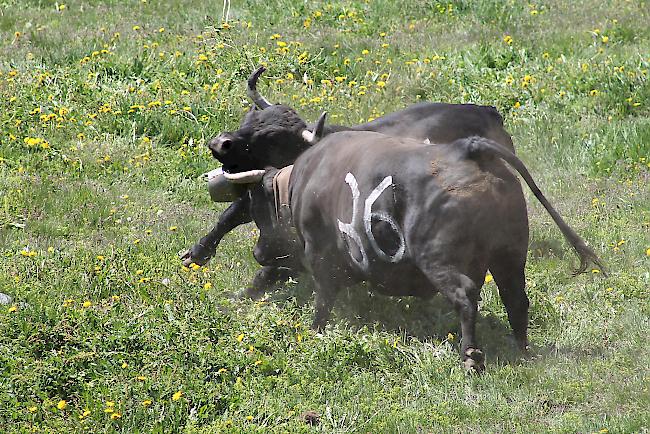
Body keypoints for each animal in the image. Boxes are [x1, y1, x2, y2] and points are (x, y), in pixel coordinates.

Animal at [225, 131, 604, 370]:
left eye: (257, 210)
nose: (258, 254)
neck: (301, 184)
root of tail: (466, 148)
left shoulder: (322, 259)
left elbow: (322, 301)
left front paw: (314, 331)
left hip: (439, 258)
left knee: (466, 297)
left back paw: (470, 357)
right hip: (509, 255)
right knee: (516, 300)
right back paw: (522, 350)